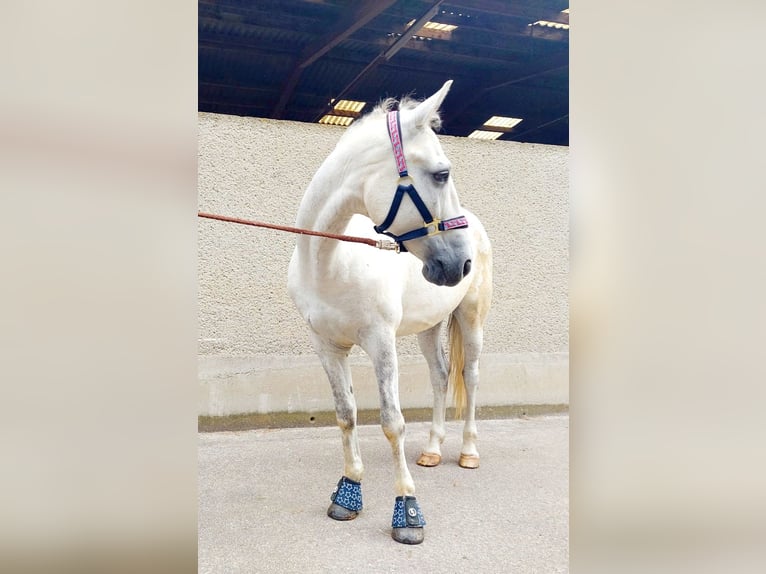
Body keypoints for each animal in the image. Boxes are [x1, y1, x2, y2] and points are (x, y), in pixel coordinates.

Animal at [286, 80, 492, 544]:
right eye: (441, 174)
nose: (461, 264)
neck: (329, 264)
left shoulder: (380, 343)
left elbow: (391, 422)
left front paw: (408, 512)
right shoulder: (327, 347)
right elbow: (346, 415)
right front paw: (348, 493)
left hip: (471, 318)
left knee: (469, 377)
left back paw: (468, 452)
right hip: (430, 326)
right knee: (440, 375)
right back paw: (432, 450)